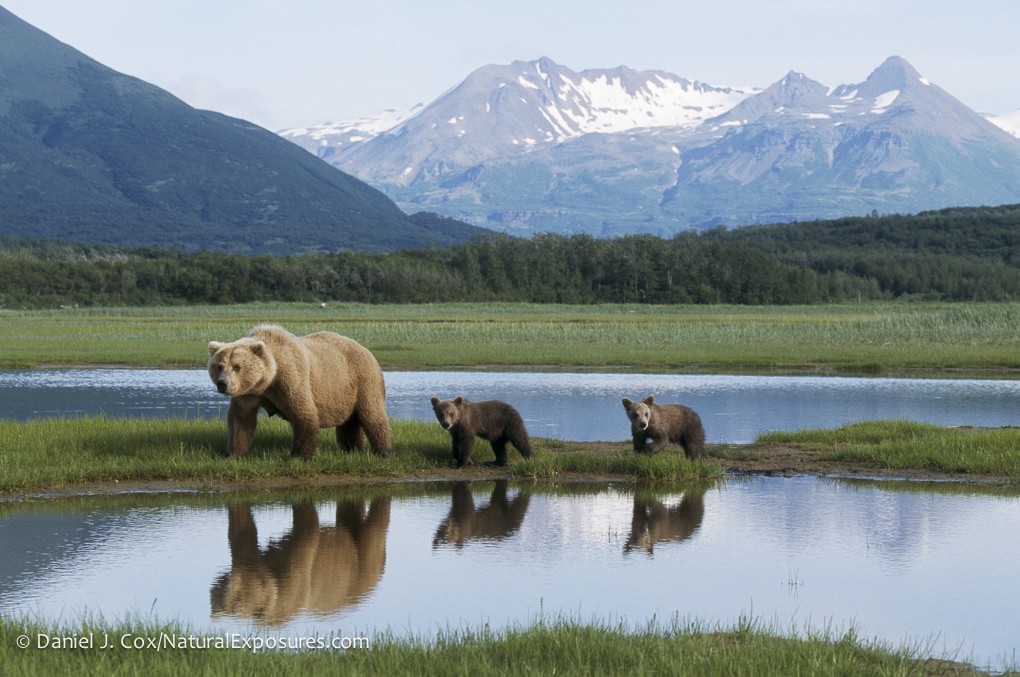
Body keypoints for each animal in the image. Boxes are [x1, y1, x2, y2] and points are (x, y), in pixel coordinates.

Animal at [207, 324, 391, 459]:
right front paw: (232, 453)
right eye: (219, 366)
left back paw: (382, 451)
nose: (222, 384)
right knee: (350, 423)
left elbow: (303, 412)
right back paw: (351, 448)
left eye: (237, 366)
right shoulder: (250, 392)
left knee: (372, 414)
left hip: (363, 379)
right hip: (346, 393)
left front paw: (299, 455)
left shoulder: (291, 376)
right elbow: (241, 419)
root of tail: (365, 349)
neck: (269, 379)